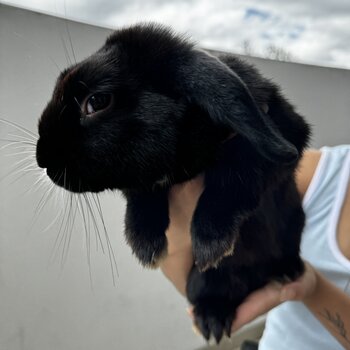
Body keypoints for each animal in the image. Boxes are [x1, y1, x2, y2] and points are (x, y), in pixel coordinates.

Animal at [36, 23, 308, 342]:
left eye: (97, 102)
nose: (42, 159)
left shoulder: (286, 135)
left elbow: (238, 165)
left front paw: (210, 241)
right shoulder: (145, 181)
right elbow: (141, 191)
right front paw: (144, 243)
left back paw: (287, 270)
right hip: (202, 280)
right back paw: (212, 317)